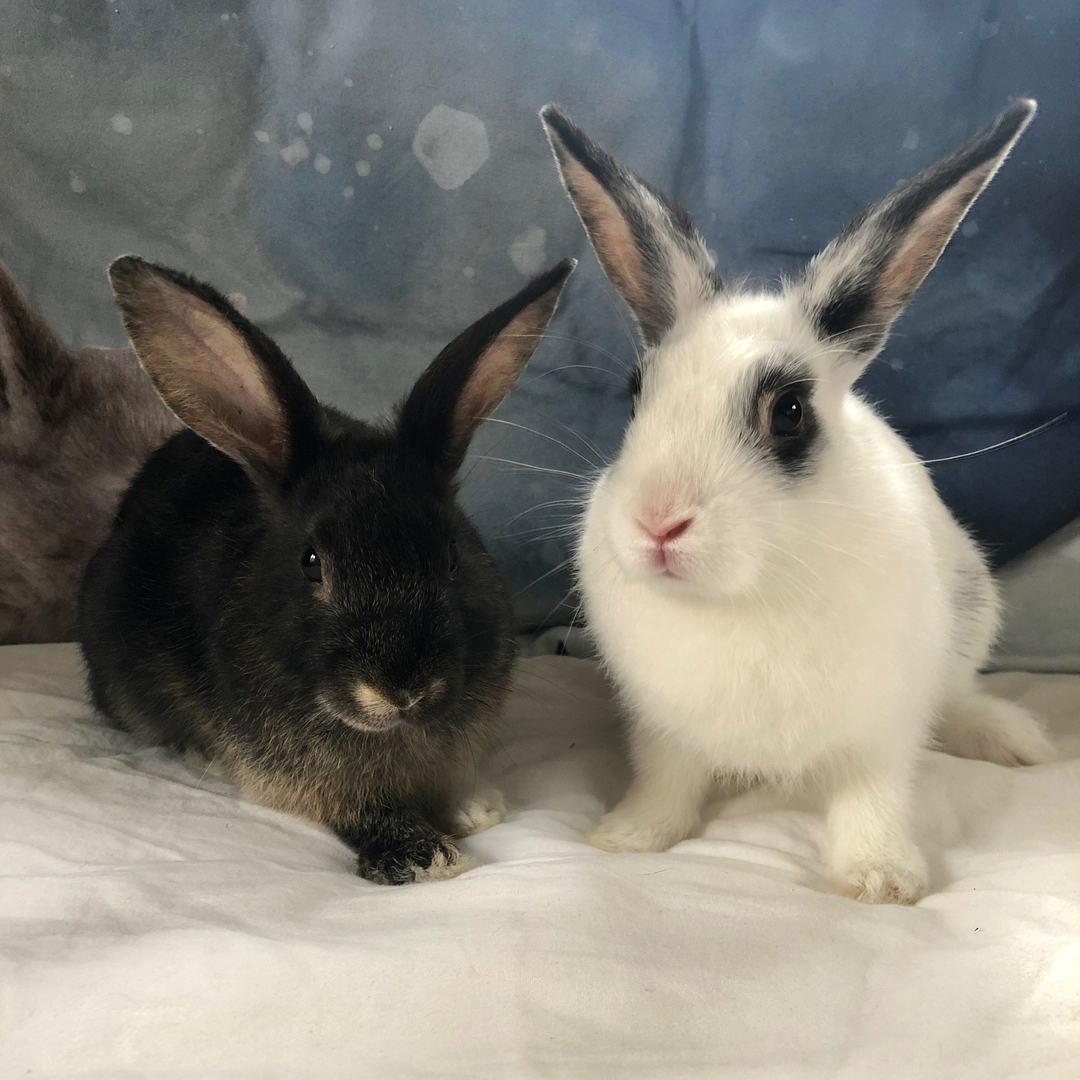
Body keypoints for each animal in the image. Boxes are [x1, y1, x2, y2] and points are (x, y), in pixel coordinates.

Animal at [78, 254, 574, 884]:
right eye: (312, 564)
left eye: (452, 554)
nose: (403, 688)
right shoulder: (306, 783)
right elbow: (363, 812)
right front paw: (431, 858)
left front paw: (475, 809)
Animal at [539, 99, 1056, 905]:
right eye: (637, 393)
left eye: (788, 413)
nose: (658, 523)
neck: (741, 597)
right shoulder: (663, 727)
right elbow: (665, 782)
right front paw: (628, 837)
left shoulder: (881, 724)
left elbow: (874, 794)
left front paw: (880, 880)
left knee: (958, 699)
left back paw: (1016, 740)